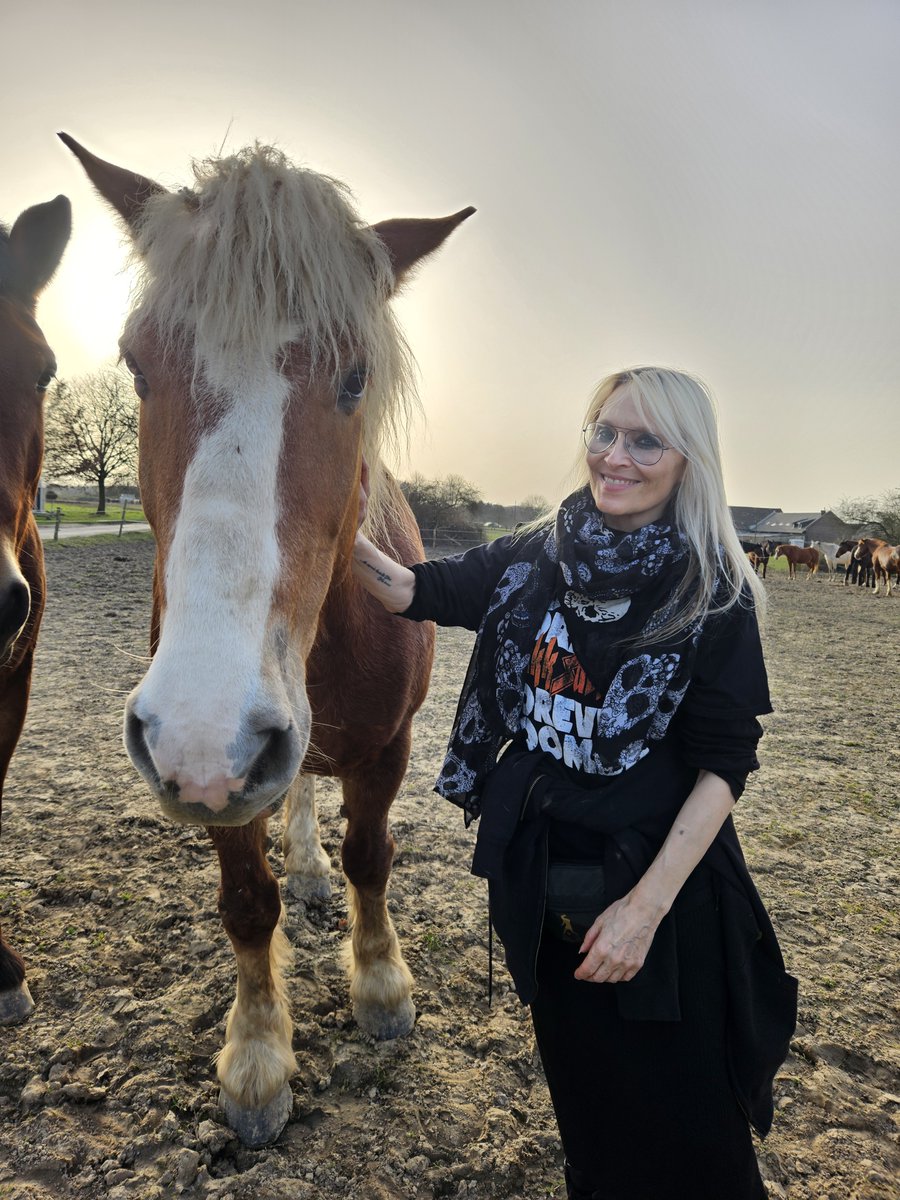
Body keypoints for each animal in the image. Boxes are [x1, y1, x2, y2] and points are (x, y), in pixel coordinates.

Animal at [61, 132, 473, 1144]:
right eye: (135, 365)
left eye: (356, 375)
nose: (214, 724)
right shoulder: (204, 766)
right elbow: (248, 904)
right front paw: (255, 1060)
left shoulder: (385, 746)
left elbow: (373, 857)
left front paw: (381, 988)